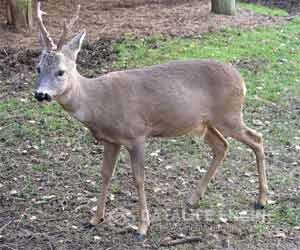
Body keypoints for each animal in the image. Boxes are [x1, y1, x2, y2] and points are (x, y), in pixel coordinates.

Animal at [34, 2, 268, 240]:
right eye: (38, 68)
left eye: (60, 72)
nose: (40, 94)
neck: (98, 103)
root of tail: (242, 80)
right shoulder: (111, 140)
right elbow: (105, 174)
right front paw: (95, 219)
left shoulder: (136, 134)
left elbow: (139, 178)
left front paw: (142, 227)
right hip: (204, 123)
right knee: (222, 146)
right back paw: (193, 198)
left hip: (229, 115)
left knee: (256, 138)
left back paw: (262, 200)